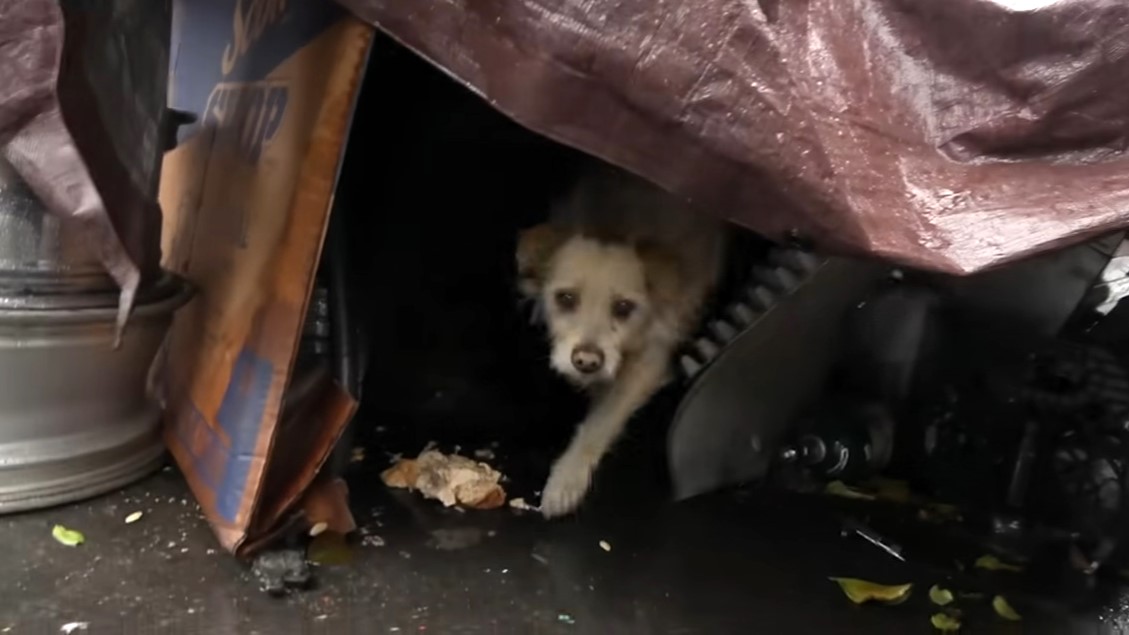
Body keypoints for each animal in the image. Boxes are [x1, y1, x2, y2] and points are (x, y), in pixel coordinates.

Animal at [517, 162, 727, 515]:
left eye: (624, 307)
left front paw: (567, 478)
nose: (586, 361)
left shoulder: (649, 362)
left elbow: (602, 419)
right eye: (565, 298)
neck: (614, 225)